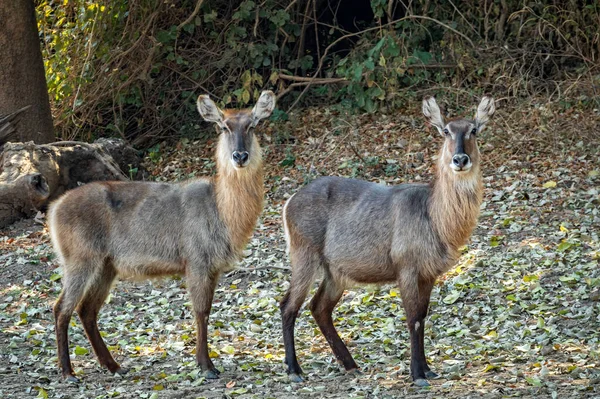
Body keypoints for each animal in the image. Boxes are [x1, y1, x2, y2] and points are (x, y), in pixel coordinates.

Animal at [50, 90, 276, 384]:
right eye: (224, 126)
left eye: (252, 125)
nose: (240, 155)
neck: (222, 212)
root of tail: (53, 210)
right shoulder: (196, 261)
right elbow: (201, 312)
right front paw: (207, 366)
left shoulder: (213, 267)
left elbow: (206, 311)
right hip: (79, 259)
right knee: (61, 308)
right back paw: (68, 372)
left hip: (106, 265)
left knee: (86, 310)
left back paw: (114, 366)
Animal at [278, 95, 494, 386]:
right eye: (446, 131)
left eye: (474, 130)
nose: (460, 159)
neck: (435, 218)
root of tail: (288, 203)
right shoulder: (406, 267)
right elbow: (413, 319)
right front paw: (417, 374)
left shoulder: (429, 273)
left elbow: (423, 317)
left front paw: (428, 369)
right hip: (304, 257)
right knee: (288, 306)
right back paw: (295, 370)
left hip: (335, 272)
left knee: (319, 307)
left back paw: (351, 364)